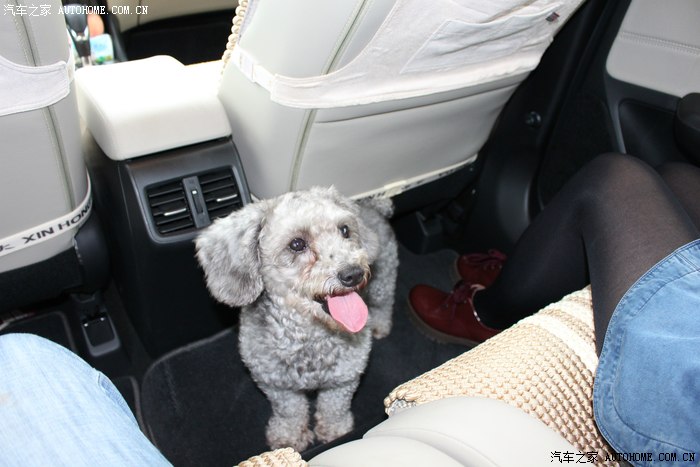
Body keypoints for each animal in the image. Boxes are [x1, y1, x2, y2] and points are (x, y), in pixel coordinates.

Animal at [195, 186, 398, 451]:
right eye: (297, 244)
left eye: (344, 230)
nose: (353, 273)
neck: (310, 337)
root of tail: (375, 206)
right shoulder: (276, 384)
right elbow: (290, 411)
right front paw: (289, 437)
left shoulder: (344, 378)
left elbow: (334, 408)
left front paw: (335, 431)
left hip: (383, 280)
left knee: (384, 305)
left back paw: (380, 325)